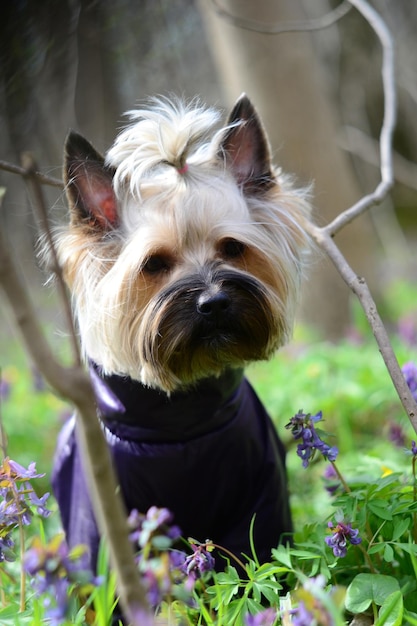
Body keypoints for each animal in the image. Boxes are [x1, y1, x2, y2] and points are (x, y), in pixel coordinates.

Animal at [49, 91, 308, 572]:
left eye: (232, 248)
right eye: (154, 264)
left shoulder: (260, 491)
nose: (215, 302)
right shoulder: (106, 509)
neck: (182, 428)